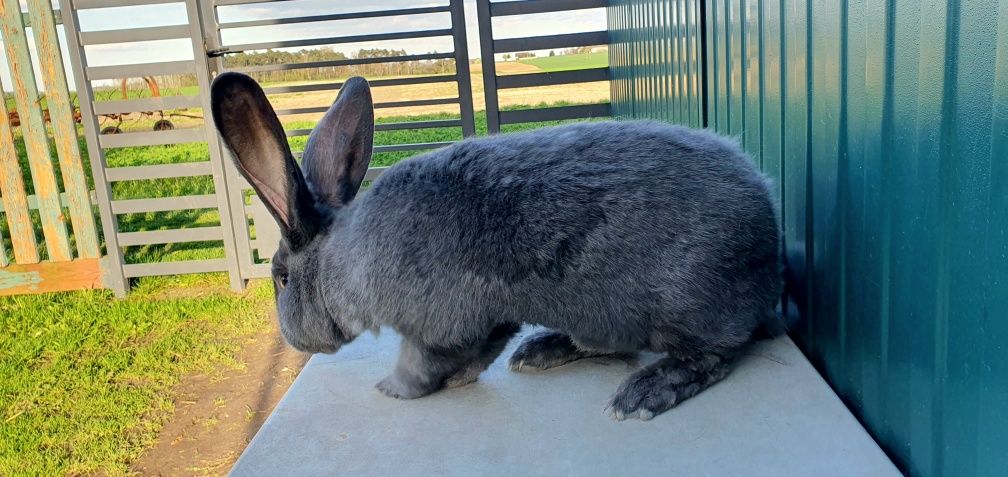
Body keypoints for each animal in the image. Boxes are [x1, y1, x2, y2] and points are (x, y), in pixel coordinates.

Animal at [208, 71, 782, 419]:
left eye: (281, 278)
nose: (292, 340)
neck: (346, 258)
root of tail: (767, 229)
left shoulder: (439, 326)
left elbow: (426, 363)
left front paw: (394, 388)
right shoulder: (487, 318)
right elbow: (481, 350)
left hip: (687, 306)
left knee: (715, 353)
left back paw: (643, 393)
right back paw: (540, 351)